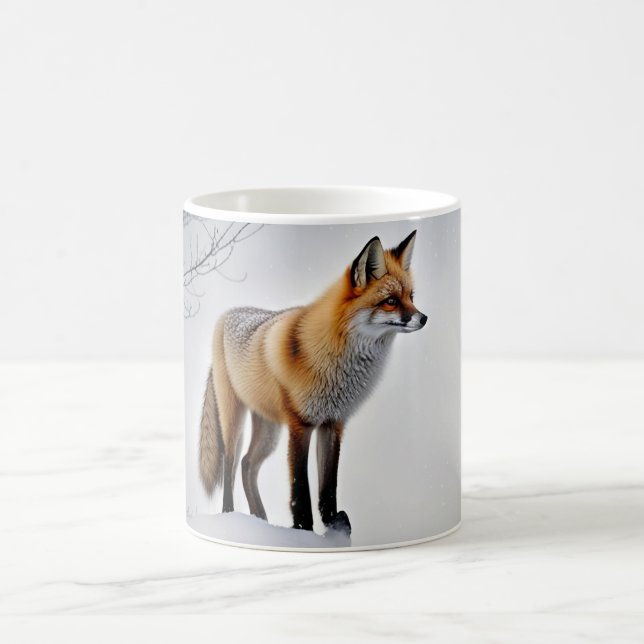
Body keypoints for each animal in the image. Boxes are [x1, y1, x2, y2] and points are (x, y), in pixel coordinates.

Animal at [198, 230, 427, 535]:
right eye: (391, 300)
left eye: (411, 297)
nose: (424, 318)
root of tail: (227, 315)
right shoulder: (300, 423)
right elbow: (300, 488)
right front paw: (303, 531)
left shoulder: (333, 423)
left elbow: (328, 486)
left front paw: (333, 526)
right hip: (234, 420)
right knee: (231, 464)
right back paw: (230, 516)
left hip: (268, 429)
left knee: (247, 465)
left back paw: (260, 520)